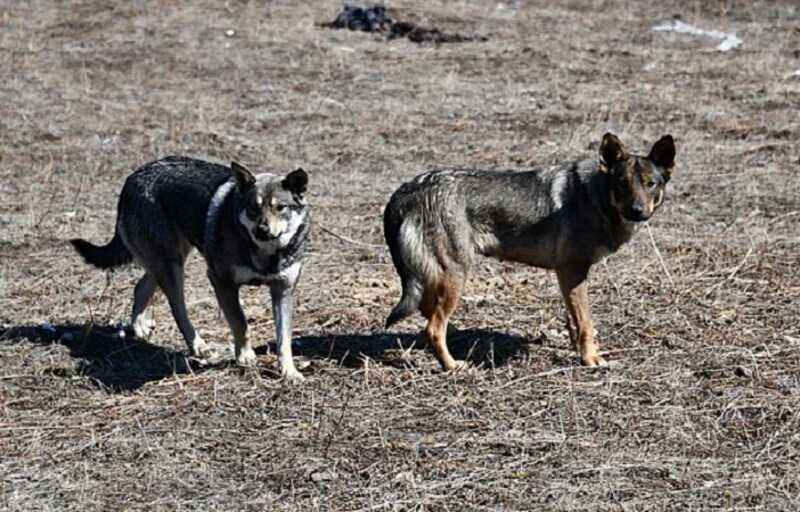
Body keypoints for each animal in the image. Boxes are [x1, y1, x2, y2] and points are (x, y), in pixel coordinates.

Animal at [71, 156, 310, 384]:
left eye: (281, 207)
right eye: (253, 207)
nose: (262, 229)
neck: (266, 255)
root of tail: (132, 178)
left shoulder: (283, 291)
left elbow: (283, 339)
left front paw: (289, 372)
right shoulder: (221, 281)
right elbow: (241, 323)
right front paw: (245, 356)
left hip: (169, 262)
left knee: (140, 287)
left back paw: (139, 327)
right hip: (172, 269)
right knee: (178, 310)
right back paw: (198, 345)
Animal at [384, 134, 672, 370]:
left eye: (650, 184)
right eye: (623, 184)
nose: (637, 211)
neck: (596, 198)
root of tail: (405, 191)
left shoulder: (567, 277)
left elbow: (574, 321)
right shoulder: (573, 271)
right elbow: (586, 324)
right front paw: (590, 359)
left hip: (438, 278)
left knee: (428, 314)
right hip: (455, 275)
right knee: (433, 328)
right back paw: (452, 365)